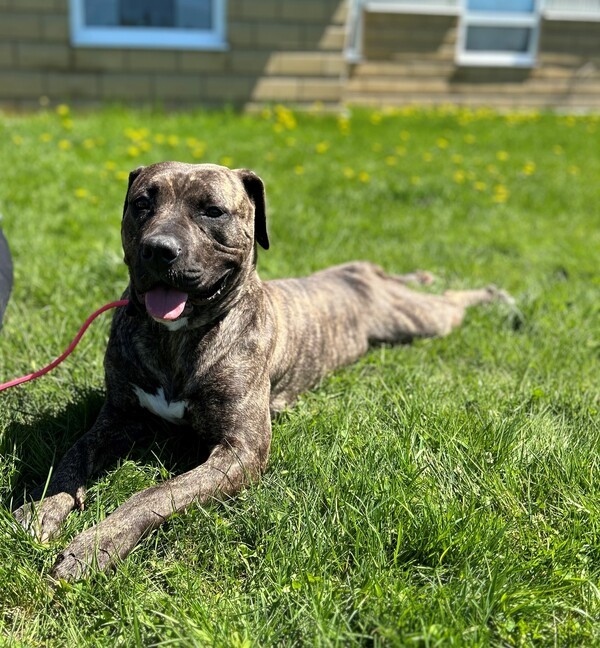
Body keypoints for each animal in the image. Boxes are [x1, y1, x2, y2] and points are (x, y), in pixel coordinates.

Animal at [16, 162, 508, 584]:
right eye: (141, 203)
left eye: (212, 210)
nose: (158, 249)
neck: (177, 338)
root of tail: (361, 270)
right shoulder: (117, 417)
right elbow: (72, 458)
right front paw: (41, 508)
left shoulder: (241, 450)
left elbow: (156, 493)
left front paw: (95, 543)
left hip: (421, 320)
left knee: (453, 300)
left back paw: (495, 296)